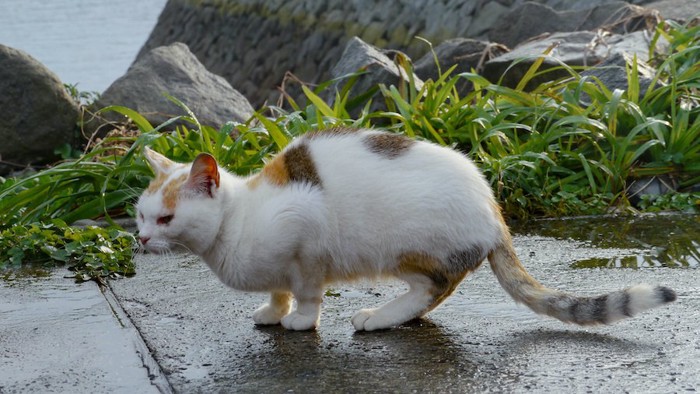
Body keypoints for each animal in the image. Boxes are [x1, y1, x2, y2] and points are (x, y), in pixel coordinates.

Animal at [134, 127, 676, 330]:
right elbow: (279, 289)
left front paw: (300, 321)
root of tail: (492, 207)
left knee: (436, 288)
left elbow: (306, 292)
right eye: (140, 214)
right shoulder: (281, 265)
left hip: (405, 247)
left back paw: (379, 317)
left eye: (166, 219)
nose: (140, 238)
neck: (239, 221)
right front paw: (273, 310)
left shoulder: (305, 238)